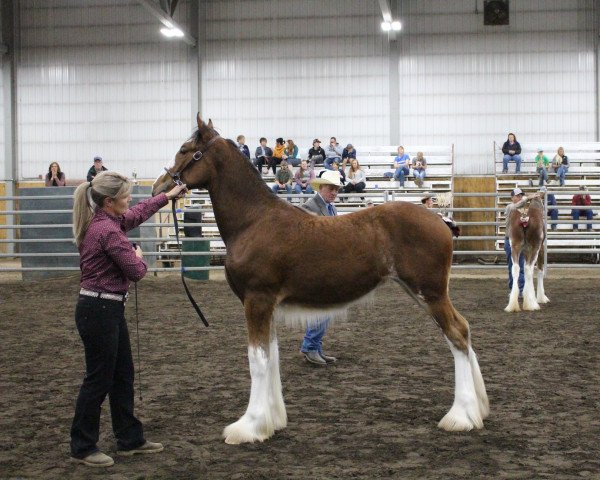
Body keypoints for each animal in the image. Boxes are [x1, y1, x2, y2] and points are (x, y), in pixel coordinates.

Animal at [152, 115, 490, 442]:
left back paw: (460, 417)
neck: (253, 221)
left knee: (458, 334)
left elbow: (257, 361)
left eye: (185, 150)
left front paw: (248, 427)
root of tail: (441, 220)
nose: (159, 187)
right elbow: (271, 357)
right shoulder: (267, 306)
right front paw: (272, 421)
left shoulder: (256, 300)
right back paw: (476, 410)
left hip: (430, 292)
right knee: (462, 331)